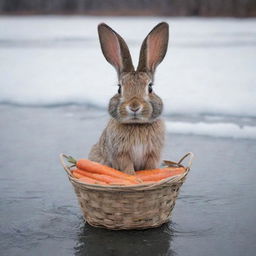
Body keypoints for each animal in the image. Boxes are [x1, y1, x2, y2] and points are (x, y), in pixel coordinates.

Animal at [89, 22, 169, 175]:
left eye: (150, 87)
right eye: (119, 88)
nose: (134, 106)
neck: (136, 124)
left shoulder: (153, 154)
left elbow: (150, 168)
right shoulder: (121, 154)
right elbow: (127, 168)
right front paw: (132, 176)